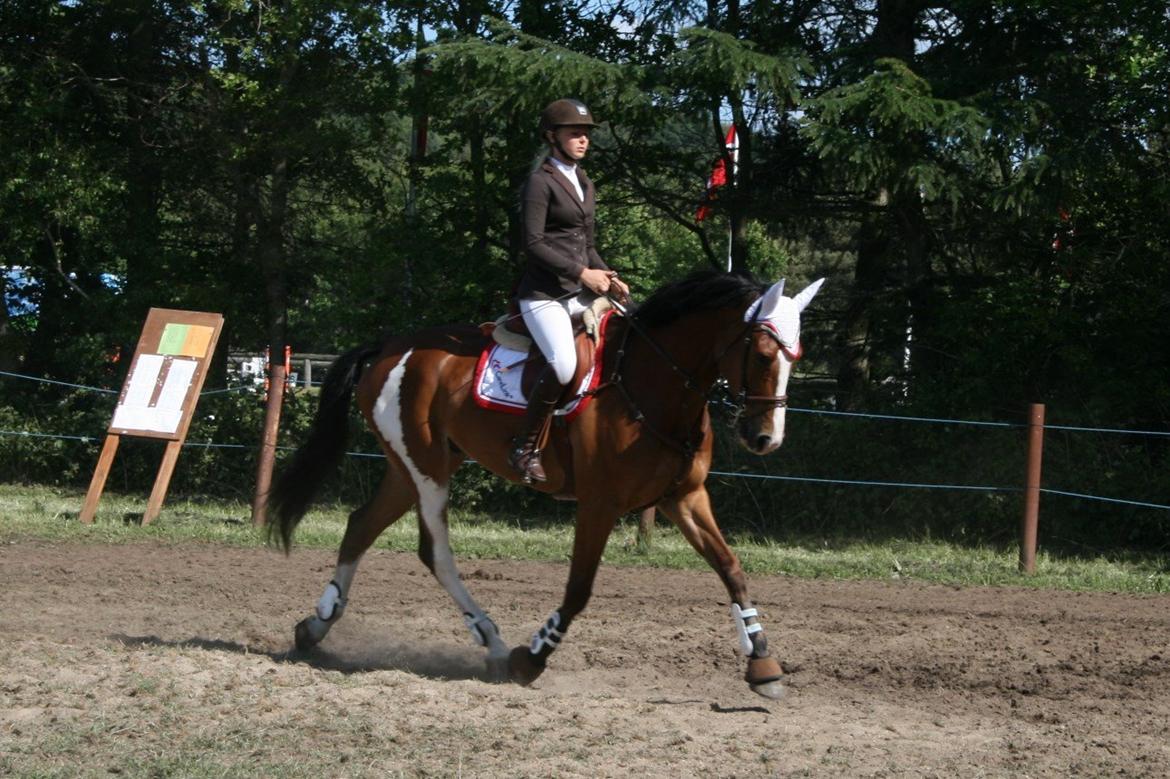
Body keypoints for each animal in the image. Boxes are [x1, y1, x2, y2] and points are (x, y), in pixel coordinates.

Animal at [269, 269, 828, 697]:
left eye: (796, 356)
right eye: (763, 354)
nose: (766, 438)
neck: (655, 384)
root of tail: (389, 347)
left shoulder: (684, 499)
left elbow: (731, 568)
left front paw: (762, 664)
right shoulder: (599, 504)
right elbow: (579, 589)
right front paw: (530, 659)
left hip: (411, 467)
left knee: (361, 526)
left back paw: (315, 627)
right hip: (425, 470)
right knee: (435, 552)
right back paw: (493, 643)